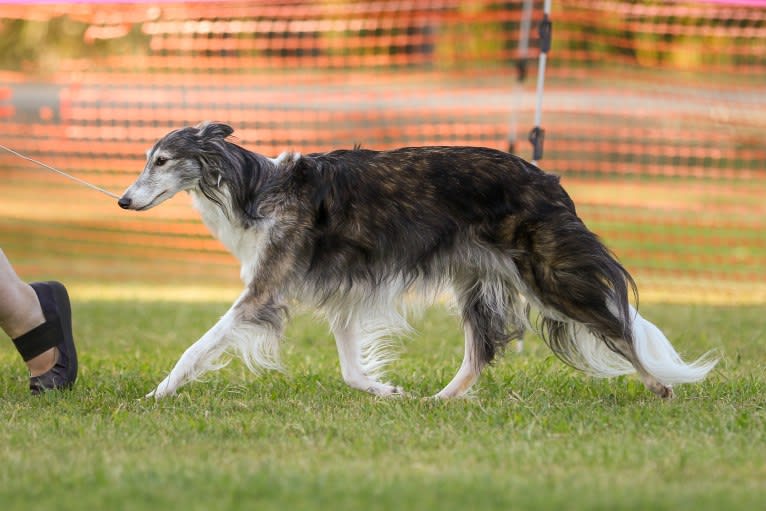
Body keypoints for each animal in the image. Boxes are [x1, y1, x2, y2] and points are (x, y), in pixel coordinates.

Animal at [117, 121, 716, 400]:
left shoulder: (263, 292)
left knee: (620, 326)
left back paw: (660, 384)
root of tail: (548, 179)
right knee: (481, 351)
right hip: (476, 281)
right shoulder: (343, 295)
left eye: (161, 160)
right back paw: (440, 399)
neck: (251, 188)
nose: (122, 201)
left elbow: (197, 346)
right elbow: (352, 370)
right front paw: (387, 392)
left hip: (548, 276)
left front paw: (156, 393)